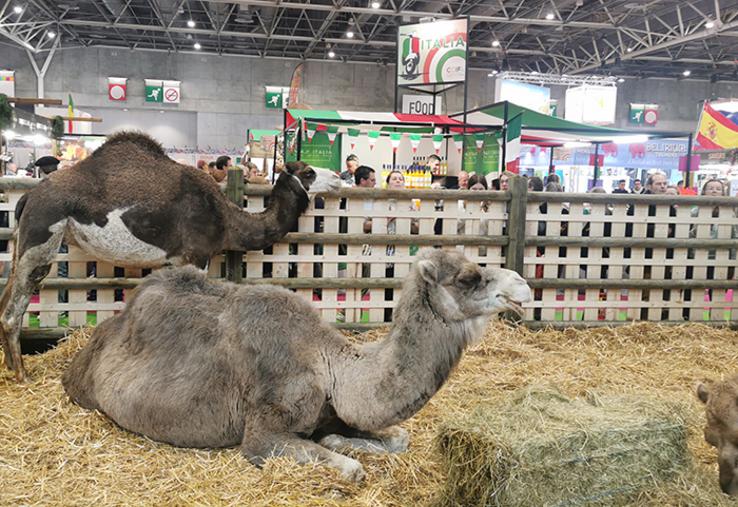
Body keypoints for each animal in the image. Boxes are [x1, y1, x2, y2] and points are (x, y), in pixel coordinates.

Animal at [0, 131, 340, 380]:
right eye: (309, 172)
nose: (337, 177)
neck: (226, 218)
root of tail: (29, 196)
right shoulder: (196, 256)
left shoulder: (174, 261)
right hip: (43, 235)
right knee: (14, 308)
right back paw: (22, 375)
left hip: (23, 244)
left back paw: (8, 367)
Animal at [61, 248, 528, 482]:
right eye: (468, 278)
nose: (522, 286)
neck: (332, 367)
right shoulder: (264, 429)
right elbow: (353, 470)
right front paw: (342, 450)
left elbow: (399, 439)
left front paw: (339, 439)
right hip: (85, 387)